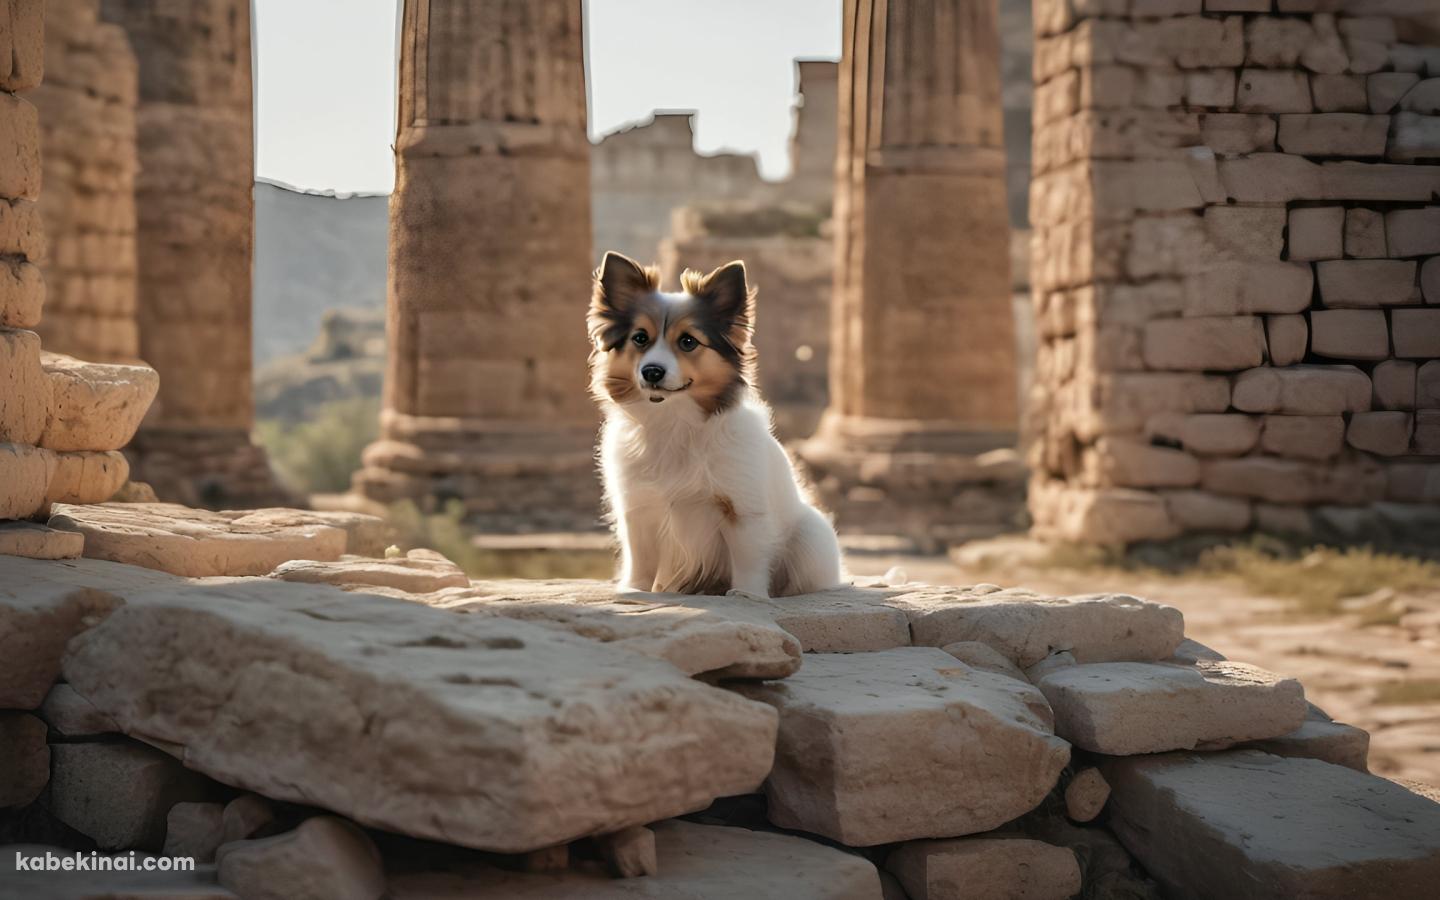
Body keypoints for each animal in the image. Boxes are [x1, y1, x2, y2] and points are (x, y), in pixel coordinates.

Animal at [584, 249, 840, 596]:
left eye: (688, 341)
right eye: (640, 338)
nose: (652, 371)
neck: (674, 420)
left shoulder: (742, 508)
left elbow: (748, 556)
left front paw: (747, 595)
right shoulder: (638, 508)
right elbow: (641, 557)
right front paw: (634, 591)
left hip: (810, 538)